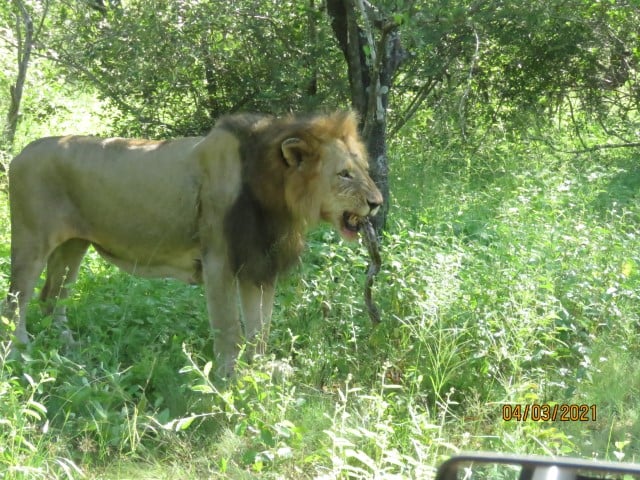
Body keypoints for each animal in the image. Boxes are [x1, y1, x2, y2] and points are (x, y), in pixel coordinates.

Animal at [3, 111, 382, 375]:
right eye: (344, 174)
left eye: (363, 169)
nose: (377, 202)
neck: (276, 198)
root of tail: (21, 152)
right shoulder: (219, 262)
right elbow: (229, 328)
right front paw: (229, 379)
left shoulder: (258, 263)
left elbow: (260, 327)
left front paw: (261, 372)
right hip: (32, 241)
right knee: (16, 300)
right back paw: (21, 352)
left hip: (74, 245)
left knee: (51, 298)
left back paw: (68, 350)